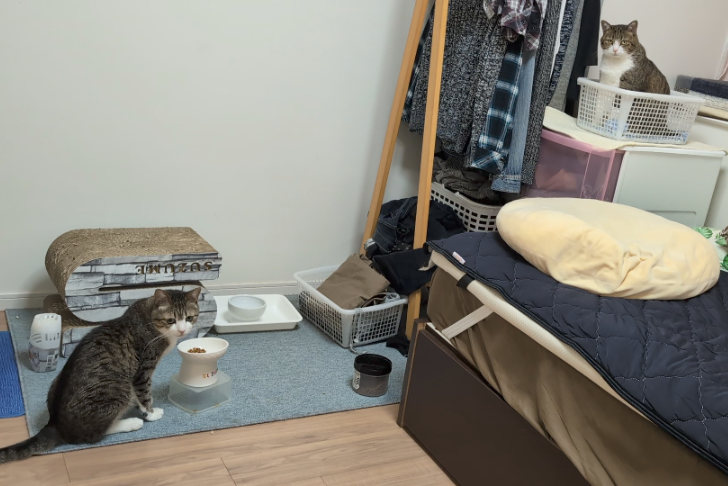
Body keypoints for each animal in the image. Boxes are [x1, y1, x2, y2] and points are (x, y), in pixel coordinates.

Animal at [0, 288, 201, 464]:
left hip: (56, 381)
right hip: (118, 389)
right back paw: (131, 423)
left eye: (190, 318)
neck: (148, 317)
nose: (182, 330)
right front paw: (150, 413)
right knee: (94, 435)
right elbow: (145, 394)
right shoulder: (143, 369)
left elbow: (140, 395)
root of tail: (56, 425)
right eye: (170, 320)